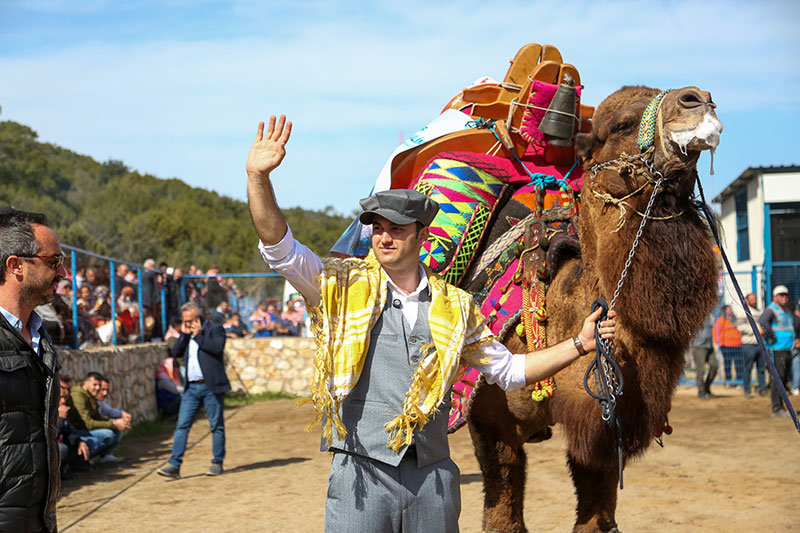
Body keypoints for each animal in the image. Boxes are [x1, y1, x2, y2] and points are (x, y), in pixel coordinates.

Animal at [460, 85, 720, 528]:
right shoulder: (488, 418)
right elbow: (503, 514)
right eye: (621, 125)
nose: (698, 98)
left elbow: (597, 515)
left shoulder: (605, 420)